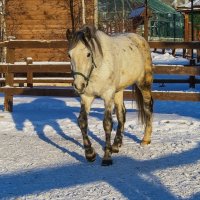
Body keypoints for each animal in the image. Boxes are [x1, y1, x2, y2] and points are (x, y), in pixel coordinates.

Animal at [67, 25, 153, 166]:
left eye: (88, 54)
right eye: (69, 55)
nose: (79, 85)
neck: (97, 69)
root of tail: (139, 38)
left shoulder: (107, 96)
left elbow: (107, 123)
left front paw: (107, 157)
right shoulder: (86, 97)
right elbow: (82, 121)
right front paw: (90, 154)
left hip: (143, 84)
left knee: (148, 108)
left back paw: (145, 140)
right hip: (119, 91)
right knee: (121, 113)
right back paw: (116, 145)